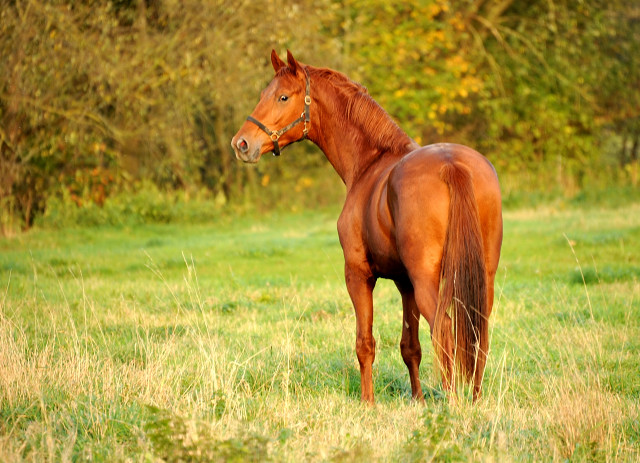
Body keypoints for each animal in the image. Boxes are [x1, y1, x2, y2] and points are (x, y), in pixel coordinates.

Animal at [232, 50, 502, 404]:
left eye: (283, 97)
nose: (241, 144)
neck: (369, 162)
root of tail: (451, 165)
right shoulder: (404, 283)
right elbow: (410, 347)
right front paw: (417, 400)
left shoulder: (358, 275)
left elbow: (365, 344)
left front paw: (368, 402)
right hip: (481, 277)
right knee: (476, 333)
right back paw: (474, 399)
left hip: (429, 281)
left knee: (444, 332)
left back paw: (453, 402)